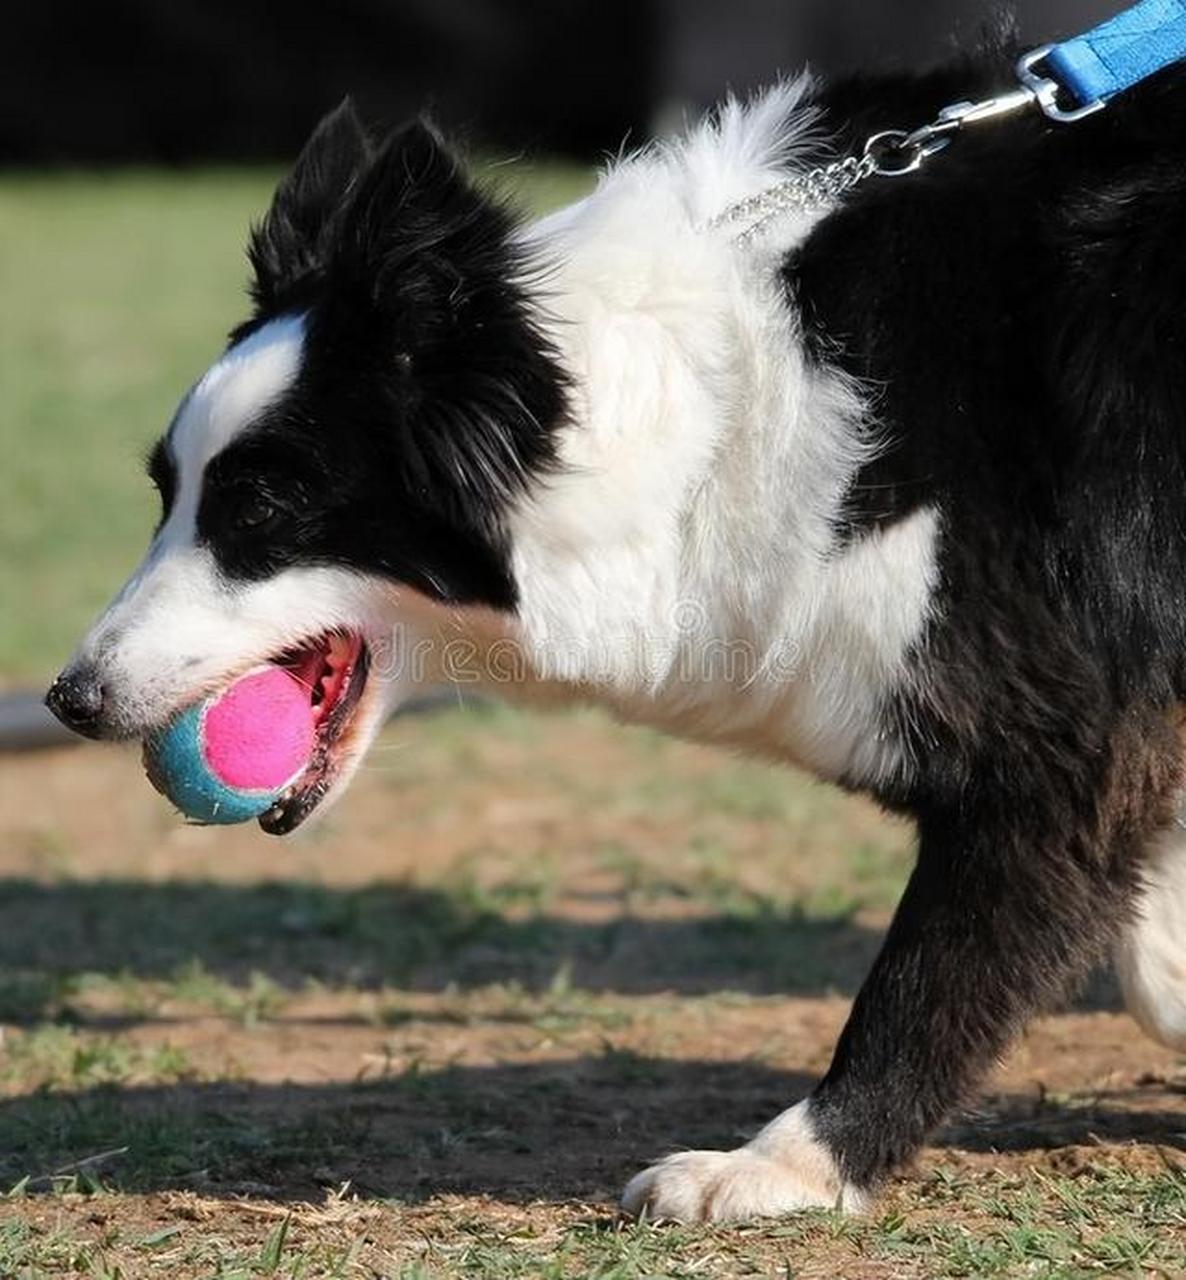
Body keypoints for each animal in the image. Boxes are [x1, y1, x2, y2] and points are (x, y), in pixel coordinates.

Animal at [46, 40, 1186, 1218]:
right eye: (167, 494)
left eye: (261, 509)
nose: (69, 699)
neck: (718, 411)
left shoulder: (1050, 733)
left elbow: (928, 979)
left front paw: (782, 1164)